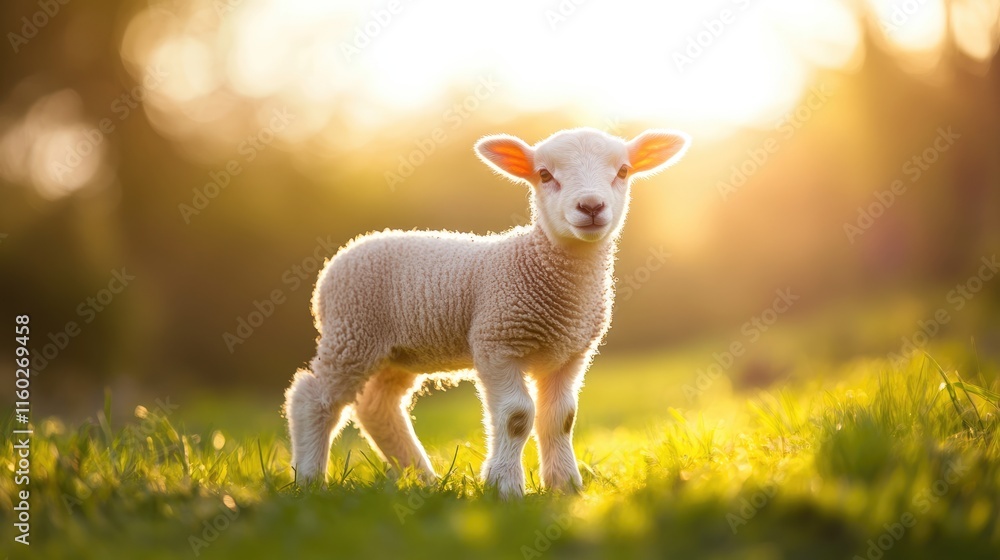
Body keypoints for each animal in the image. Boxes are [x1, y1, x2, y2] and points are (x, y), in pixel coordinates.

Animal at [284, 127, 690, 498]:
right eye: (545, 175)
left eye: (623, 170)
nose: (591, 207)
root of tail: (343, 254)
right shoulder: (497, 342)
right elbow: (516, 416)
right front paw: (505, 488)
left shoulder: (571, 353)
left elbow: (560, 418)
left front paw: (565, 487)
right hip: (352, 333)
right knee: (313, 398)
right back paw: (310, 480)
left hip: (394, 353)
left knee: (377, 407)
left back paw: (422, 478)